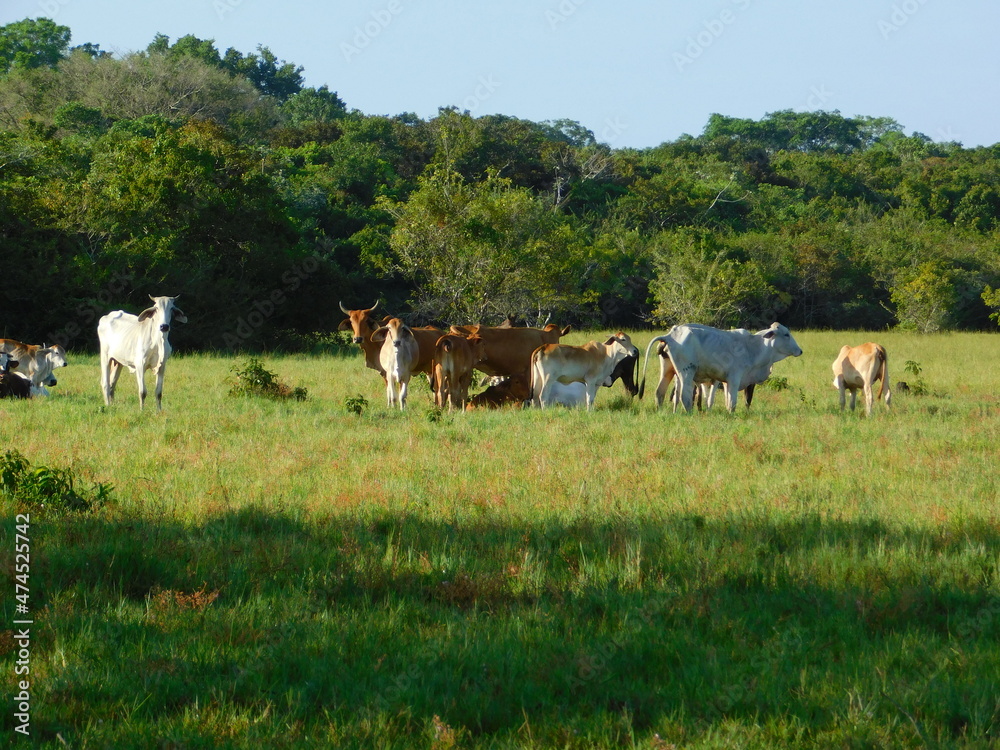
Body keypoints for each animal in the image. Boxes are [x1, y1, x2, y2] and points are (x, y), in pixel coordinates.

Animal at [640, 324, 804, 414]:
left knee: (660, 392)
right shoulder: (734, 378)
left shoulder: (724, 382)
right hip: (686, 373)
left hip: (668, 371)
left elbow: (726, 401)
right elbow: (732, 402)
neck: (753, 347)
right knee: (684, 397)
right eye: (786, 334)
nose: (800, 350)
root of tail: (670, 335)